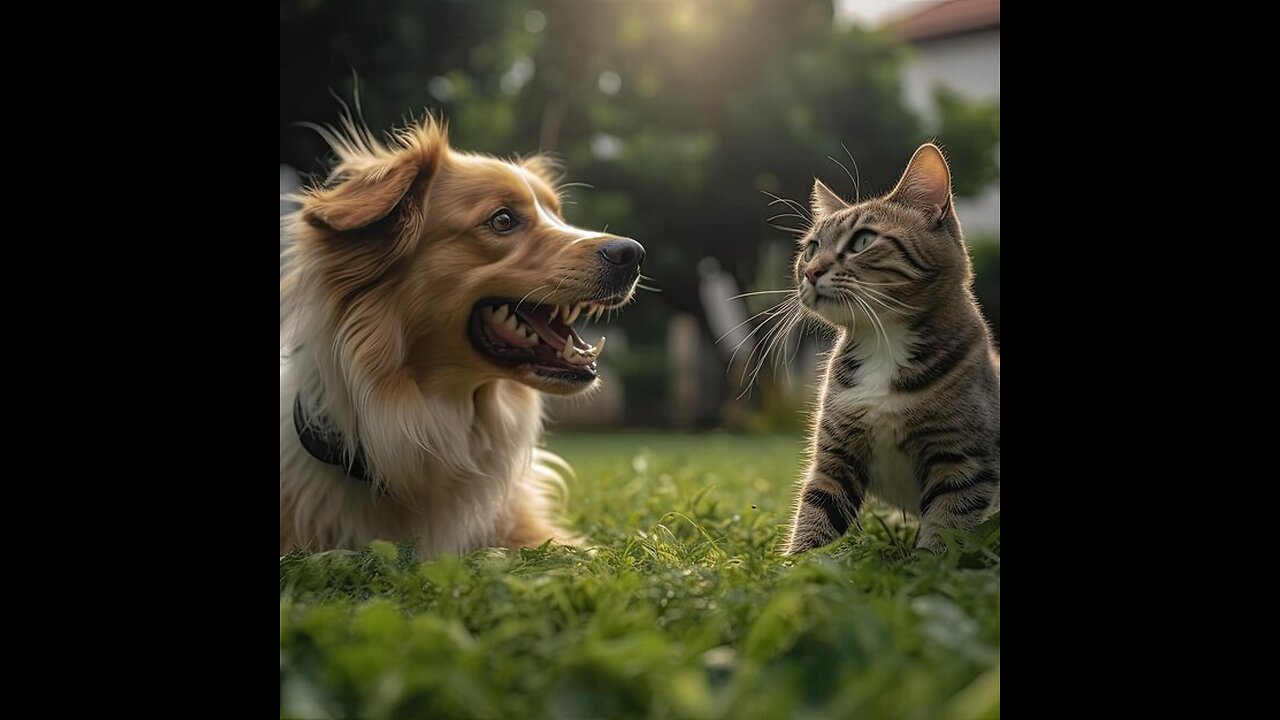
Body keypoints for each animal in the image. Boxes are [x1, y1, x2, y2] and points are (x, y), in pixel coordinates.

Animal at [778, 144, 998, 548]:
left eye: (863, 241)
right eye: (811, 248)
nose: (810, 272)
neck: (883, 341)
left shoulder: (963, 463)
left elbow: (944, 531)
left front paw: (928, 559)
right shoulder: (835, 456)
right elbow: (816, 515)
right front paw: (796, 563)